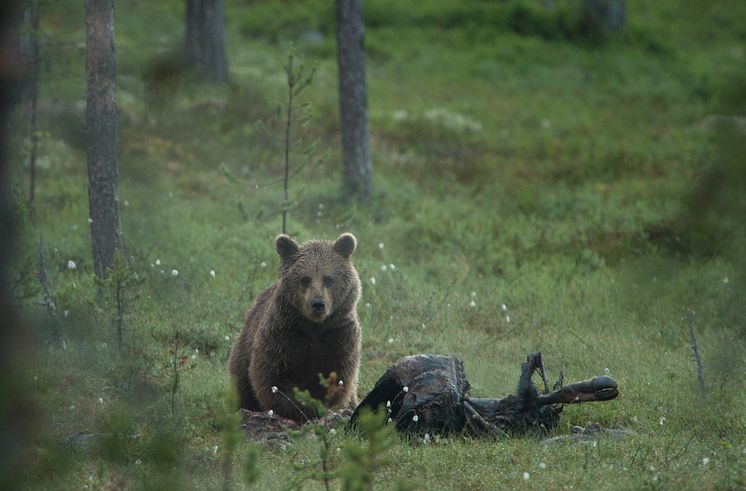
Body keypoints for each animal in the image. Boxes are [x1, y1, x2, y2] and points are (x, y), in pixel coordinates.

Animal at [230, 233, 364, 420]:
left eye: (328, 279)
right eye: (305, 279)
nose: (318, 304)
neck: (313, 328)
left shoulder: (338, 337)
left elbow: (338, 378)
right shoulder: (283, 336)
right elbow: (271, 378)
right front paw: (296, 410)